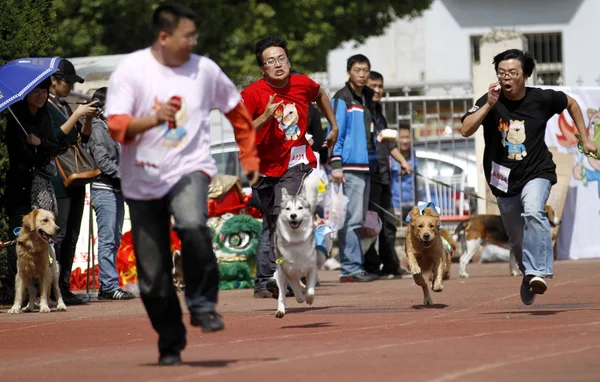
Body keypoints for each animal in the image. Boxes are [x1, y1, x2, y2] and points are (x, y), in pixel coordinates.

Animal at [274, 187, 322, 318]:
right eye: (288, 209)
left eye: (300, 208)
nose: (293, 215)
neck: (296, 241)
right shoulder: (289, 272)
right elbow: (296, 288)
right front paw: (301, 298)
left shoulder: (312, 268)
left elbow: (310, 290)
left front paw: (309, 298)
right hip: (280, 274)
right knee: (282, 294)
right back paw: (280, 310)